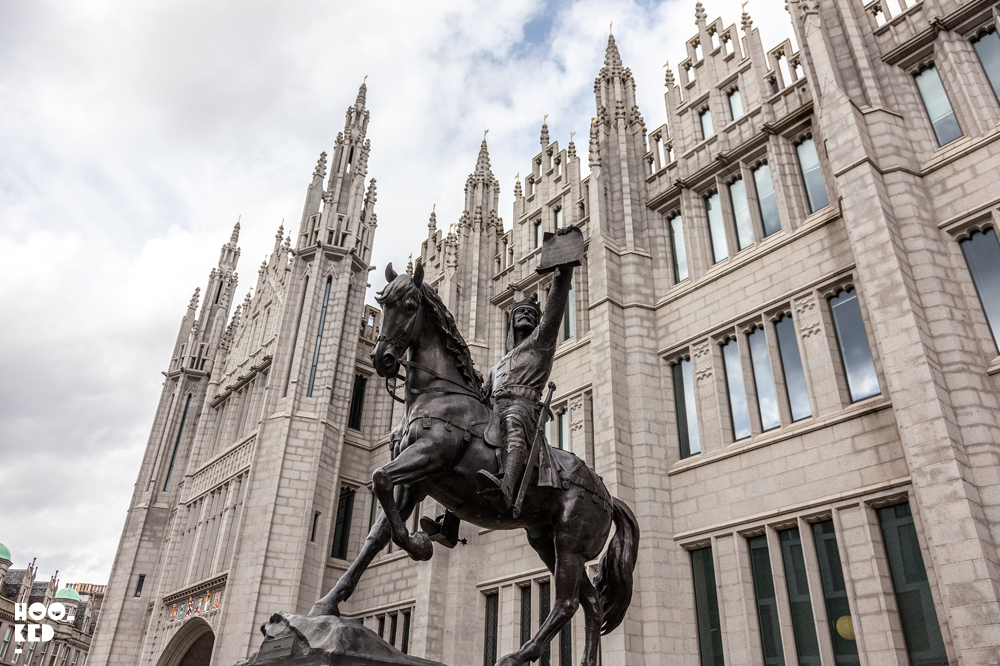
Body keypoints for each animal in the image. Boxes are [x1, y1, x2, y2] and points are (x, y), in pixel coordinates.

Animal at [312, 262, 640, 660]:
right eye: (383, 303)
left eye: (409, 306)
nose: (382, 359)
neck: (441, 394)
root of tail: (607, 494)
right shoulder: (415, 483)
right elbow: (376, 533)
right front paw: (326, 604)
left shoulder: (429, 456)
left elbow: (379, 481)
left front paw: (419, 546)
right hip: (544, 539)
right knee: (591, 603)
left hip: (570, 543)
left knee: (567, 602)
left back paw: (518, 654)